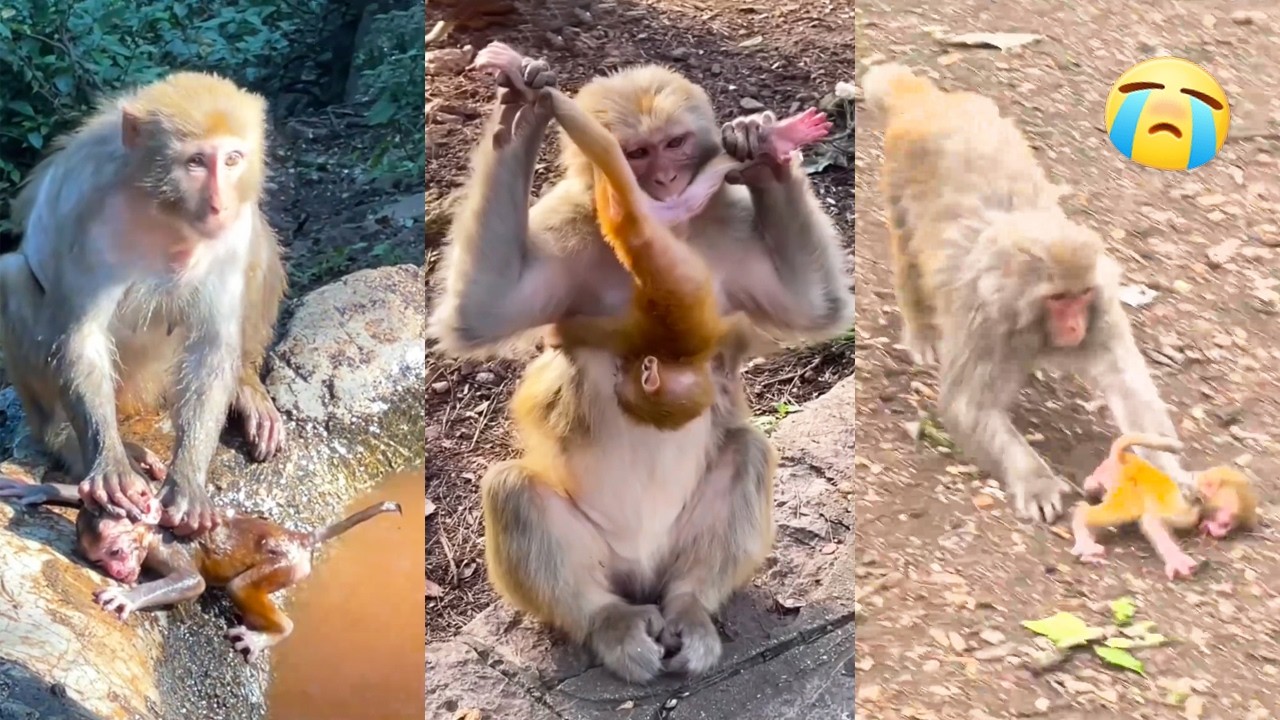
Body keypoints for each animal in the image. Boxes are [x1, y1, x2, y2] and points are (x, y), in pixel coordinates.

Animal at [0, 71, 288, 536]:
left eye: (232, 159)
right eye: (196, 162)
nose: (219, 203)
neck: (166, 211)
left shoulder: (233, 227)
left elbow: (211, 347)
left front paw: (187, 481)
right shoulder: (89, 212)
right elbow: (81, 338)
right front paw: (111, 466)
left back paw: (245, 385)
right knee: (10, 273)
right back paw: (64, 436)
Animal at [0, 476, 401, 663]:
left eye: (116, 551)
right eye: (99, 560)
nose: (119, 572)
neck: (151, 533)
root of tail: (299, 537)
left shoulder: (165, 548)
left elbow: (192, 582)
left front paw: (127, 597)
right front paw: (40, 489)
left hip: (287, 564)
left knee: (240, 587)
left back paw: (271, 632)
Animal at [860, 62, 1190, 524]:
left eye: (1080, 295)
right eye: (1057, 299)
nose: (1073, 326)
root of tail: (930, 104)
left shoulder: (1103, 309)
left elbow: (1128, 387)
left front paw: (1169, 471)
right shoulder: (982, 320)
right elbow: (968, 405)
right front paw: (1035, 481)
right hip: (898, 181)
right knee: (909, 259)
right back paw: (921, 330)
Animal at [1069, 433, 1199, 580]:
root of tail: (1121, 457)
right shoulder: (1181, 510)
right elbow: (1151, 521)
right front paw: (1177, 559)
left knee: (1092, 485)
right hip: (1123, 485)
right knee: (1122, 509)